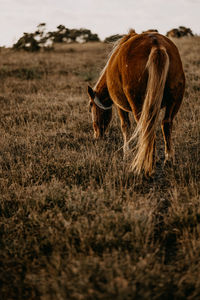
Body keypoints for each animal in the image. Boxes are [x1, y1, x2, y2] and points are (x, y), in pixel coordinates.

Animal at [88, 29, 185, 176]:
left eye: (90, 108)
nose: (96, 136)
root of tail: (156, 45)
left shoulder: (119, 106)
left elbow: (125, 126)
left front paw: (126, 153)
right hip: (174, 101)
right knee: (165, 124)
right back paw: (168, 159)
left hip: (139, 106)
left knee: (147, 129)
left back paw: (148, 164)